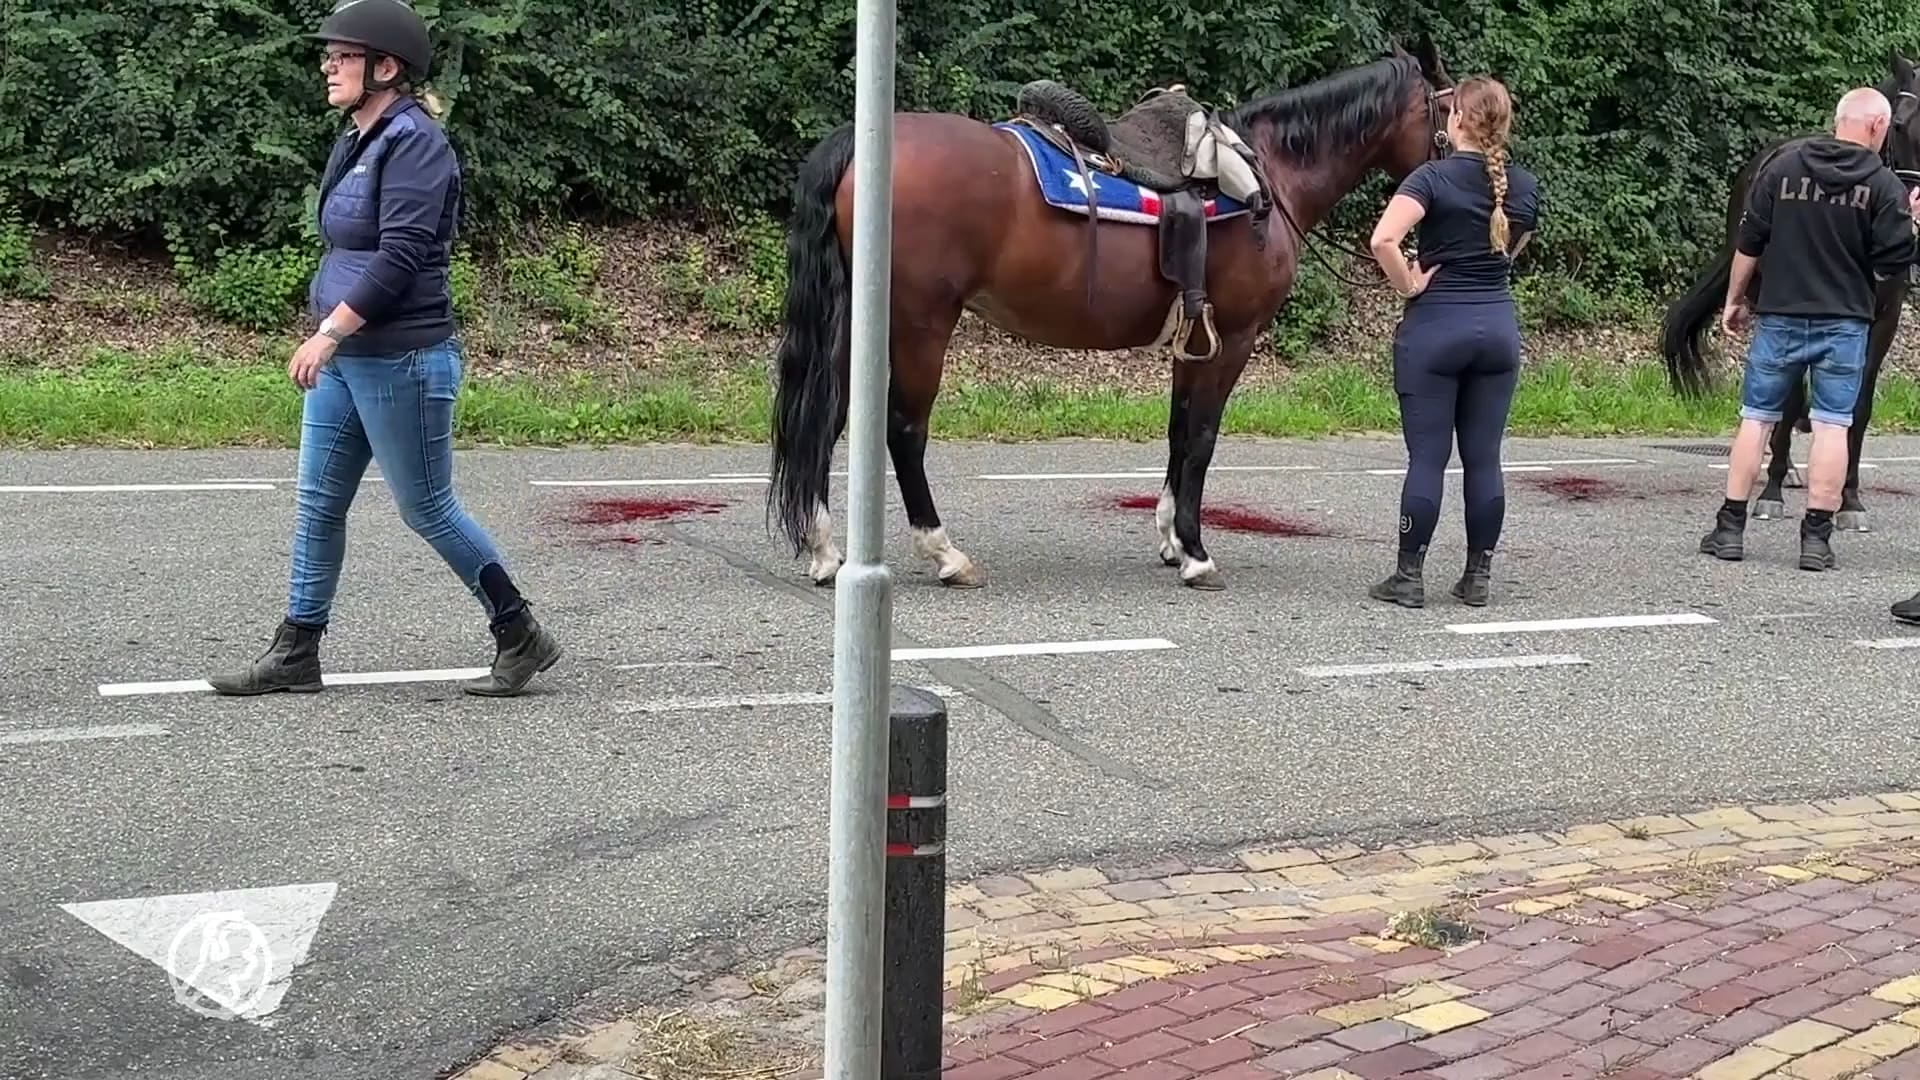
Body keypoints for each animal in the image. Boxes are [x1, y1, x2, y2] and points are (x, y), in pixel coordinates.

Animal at [765, 42, 1457, 591]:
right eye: (1446, 109)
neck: (1268, 175)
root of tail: (862, 143)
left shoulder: (1193, 339)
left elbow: (1179, 432)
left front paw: (1173, 538)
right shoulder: (1233, 338)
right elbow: (1203, 438)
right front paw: (1197, 554)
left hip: (862, 320)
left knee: (825, 418)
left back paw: (826, 550)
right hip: (921, 324)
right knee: (903, 431)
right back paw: (945, 554)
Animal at [1659, 50, 1920, 531]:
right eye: (1897, 125)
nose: (1911, 203)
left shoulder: (1883, 321)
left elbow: (1858, 406)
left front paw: (1850, 500)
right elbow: (1794, 392)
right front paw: (1773, 490)